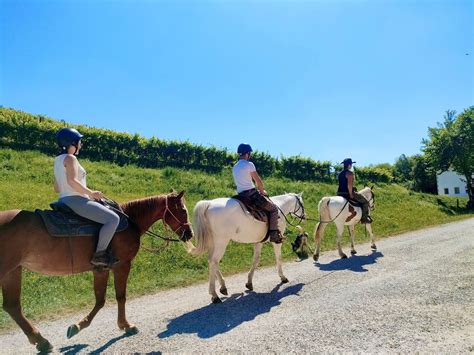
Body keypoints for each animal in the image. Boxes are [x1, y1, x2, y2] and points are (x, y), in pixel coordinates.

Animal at [0, 191, 193, 352]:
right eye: (183, 210)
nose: (189, 233)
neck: (130, 221)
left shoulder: (101, 270)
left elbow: (100, 300)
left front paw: (78, 326)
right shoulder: (122, 265)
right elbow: (119, 297)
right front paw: (125, 325)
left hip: (13, 271)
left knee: (12, 307)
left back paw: (41, 341)